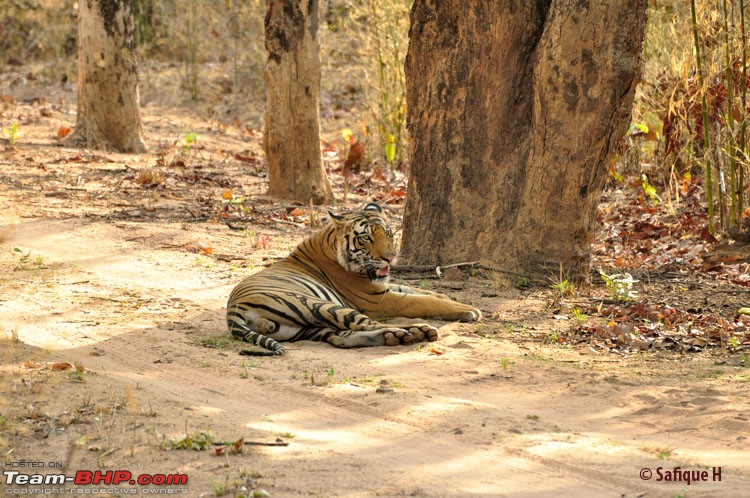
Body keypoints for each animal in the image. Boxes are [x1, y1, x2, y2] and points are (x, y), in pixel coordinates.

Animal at [226, 202, 482, 354]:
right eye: (366, 238)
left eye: (388, 233)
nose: (390, 258)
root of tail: (233, 310)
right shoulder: (377, 300)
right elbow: (424, 301)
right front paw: (470, 310)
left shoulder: (382, 287)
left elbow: (422, 292)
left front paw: (454, 299)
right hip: (319, 305)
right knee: (367, 324)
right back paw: (418, 331)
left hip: (307, 327)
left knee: (343, 338)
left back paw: (397, 336)